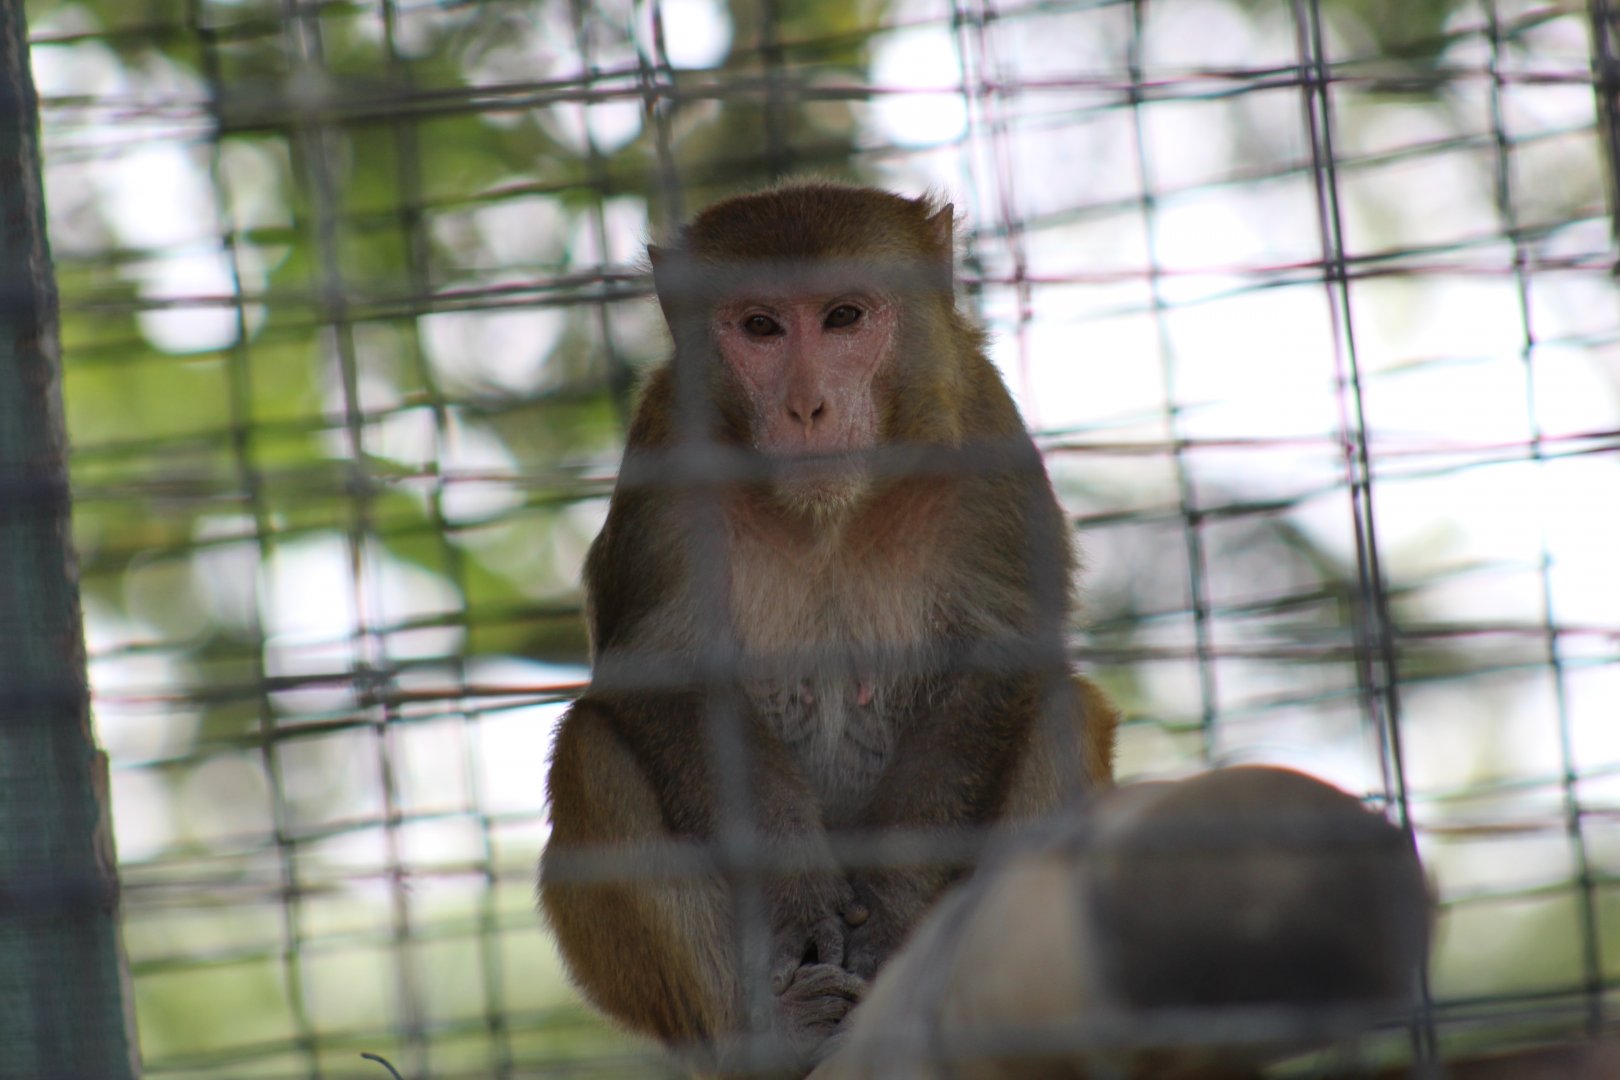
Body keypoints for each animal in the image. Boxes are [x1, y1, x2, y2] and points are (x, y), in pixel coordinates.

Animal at [538, 180, 1119, 1073]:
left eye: (843, 317)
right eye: (761, 327)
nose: (806, 406)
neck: (831, 514)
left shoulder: (984, 432)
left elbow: (1006, 656)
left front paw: (891, 910)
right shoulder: (669, 452)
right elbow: (664, 677)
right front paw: (799, 892)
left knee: (1061, 712)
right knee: (591, 749)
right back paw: (775, 1037)